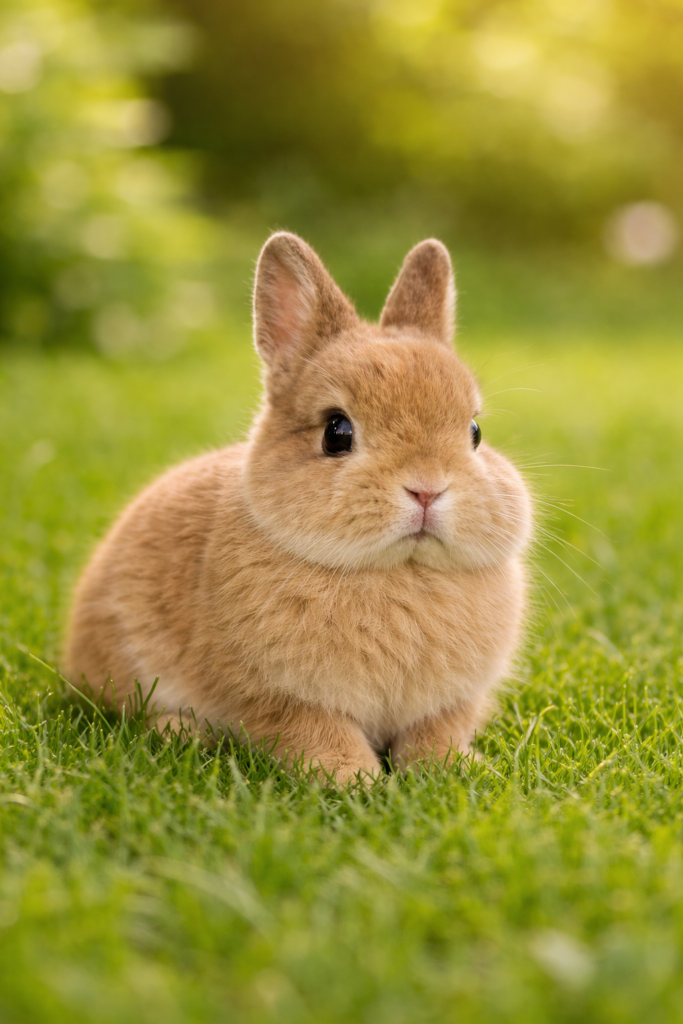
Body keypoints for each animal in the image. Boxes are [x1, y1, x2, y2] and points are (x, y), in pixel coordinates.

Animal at [65, 232, 533, 784]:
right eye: (336, 432)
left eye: (475, 432)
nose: (427, 488)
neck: (400, 571)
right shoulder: (273, 696)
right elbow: (315, 728)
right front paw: (355, 779)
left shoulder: (451, 702)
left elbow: (436, 731)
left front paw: (453, 769)